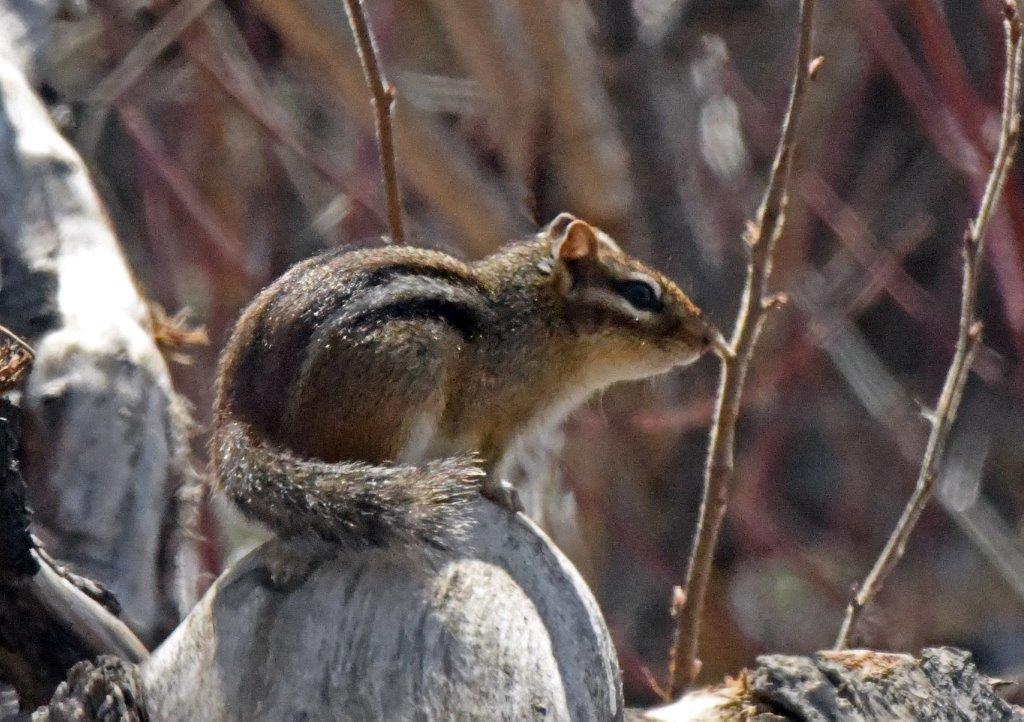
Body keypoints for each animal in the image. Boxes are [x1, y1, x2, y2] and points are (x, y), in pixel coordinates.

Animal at [212, 213, 723, 577]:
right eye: (642, 294)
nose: (707, 337)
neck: (539, 320)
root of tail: (239, 413)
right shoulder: (503, 421)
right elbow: (491, 463)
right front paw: (501, 493)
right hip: (407, 376)